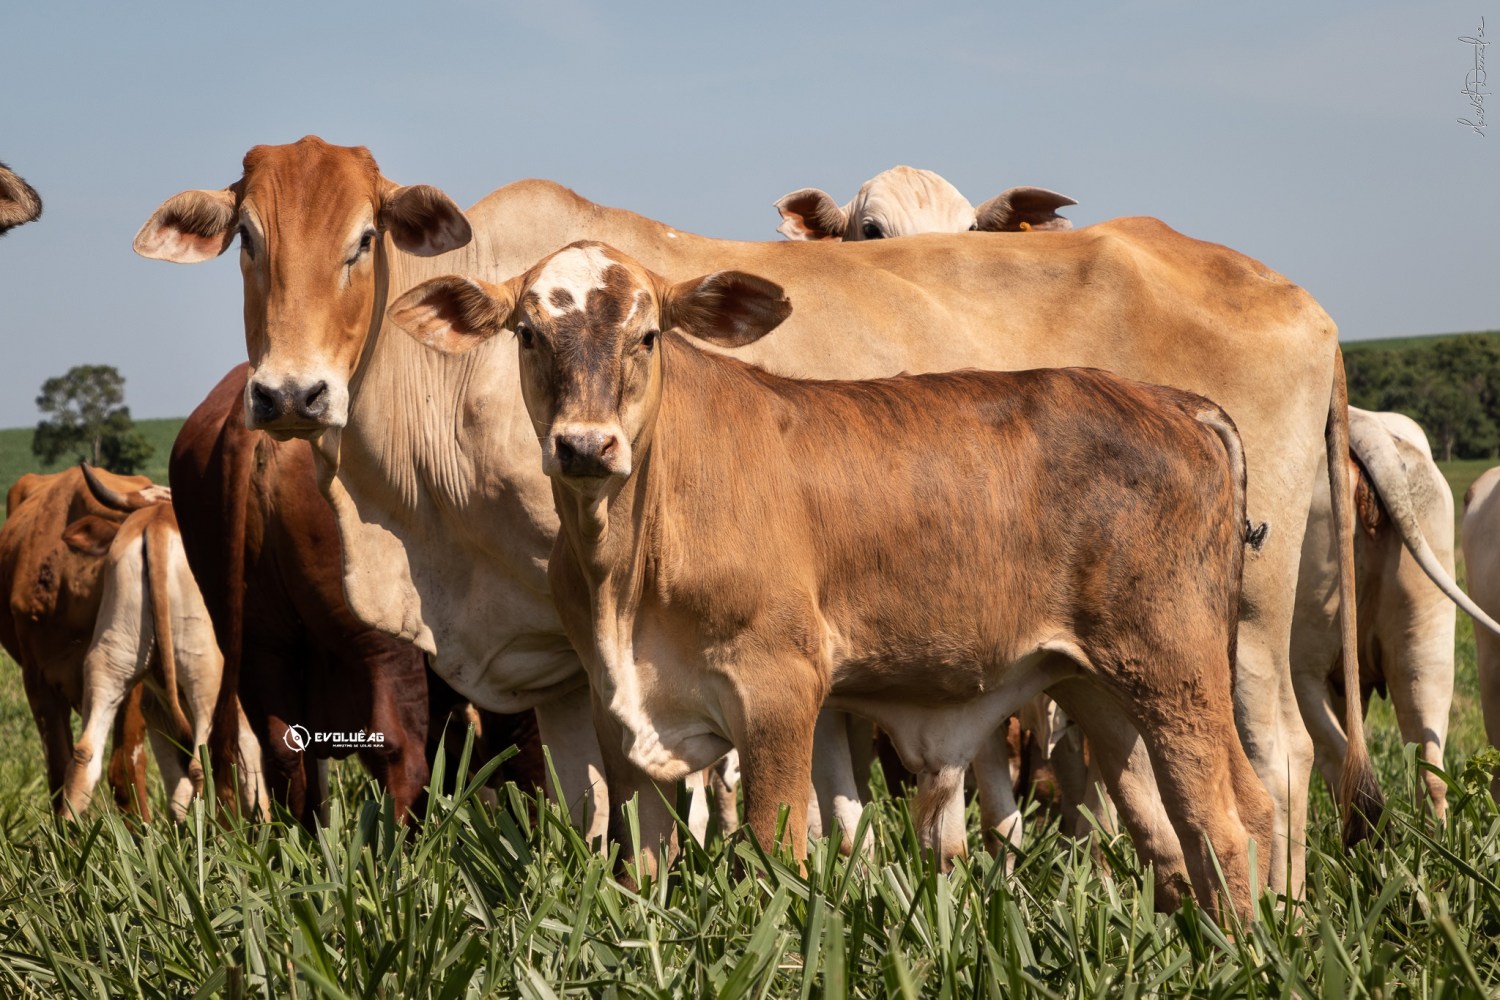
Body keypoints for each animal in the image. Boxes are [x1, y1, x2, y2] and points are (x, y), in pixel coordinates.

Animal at [56, 464, 270, 827]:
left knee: (84, 757)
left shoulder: (158, 713)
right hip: (204, 675)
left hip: (109, 663)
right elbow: (251, 766)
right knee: (201, 764)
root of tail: (156, 524)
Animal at [141, 132, 1374, 893]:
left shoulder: (607, 661)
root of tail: (1295, 297)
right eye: (249, 240)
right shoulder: (575, 667)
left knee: (1275, 764)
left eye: (364, 239)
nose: (290, 393)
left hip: (1235, 630)